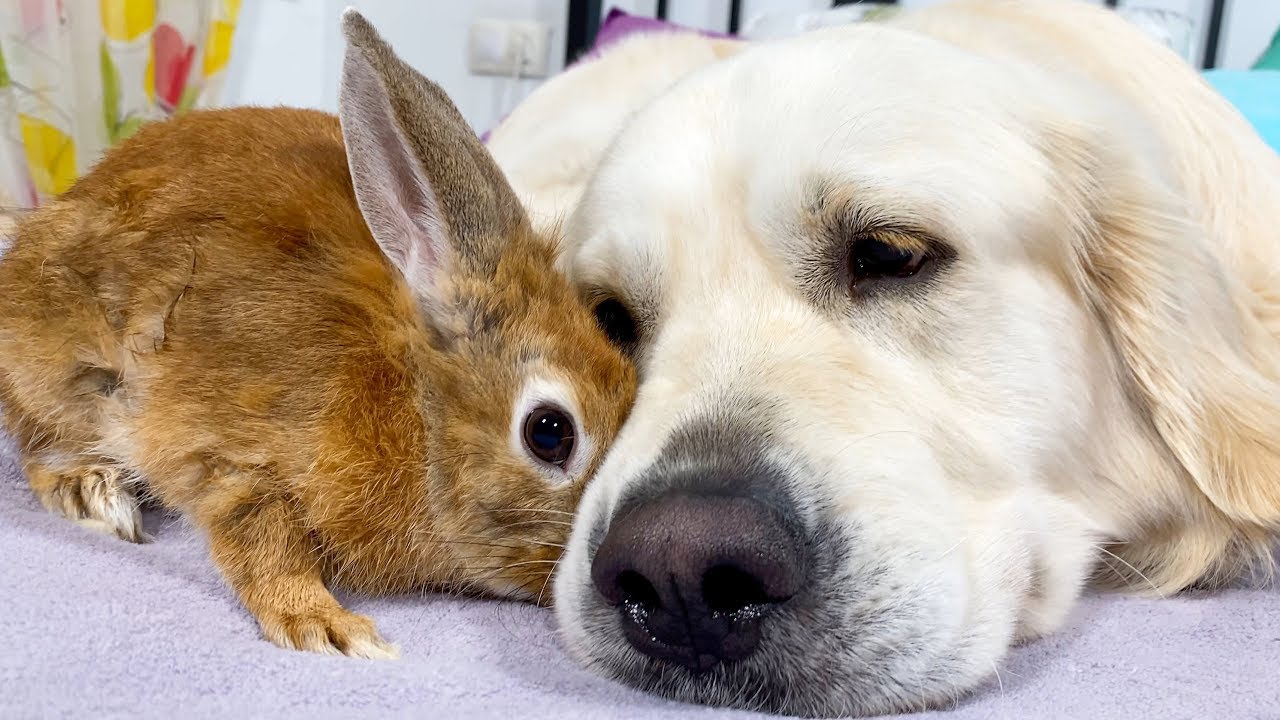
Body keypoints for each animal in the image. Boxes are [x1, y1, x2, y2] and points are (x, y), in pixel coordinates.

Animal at [0, 11, 635, 659]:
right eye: (550, 433)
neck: (413, 401)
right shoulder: (231, 457)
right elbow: (263, 541)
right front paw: (326, 625)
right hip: (58, 368)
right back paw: (95, 494)